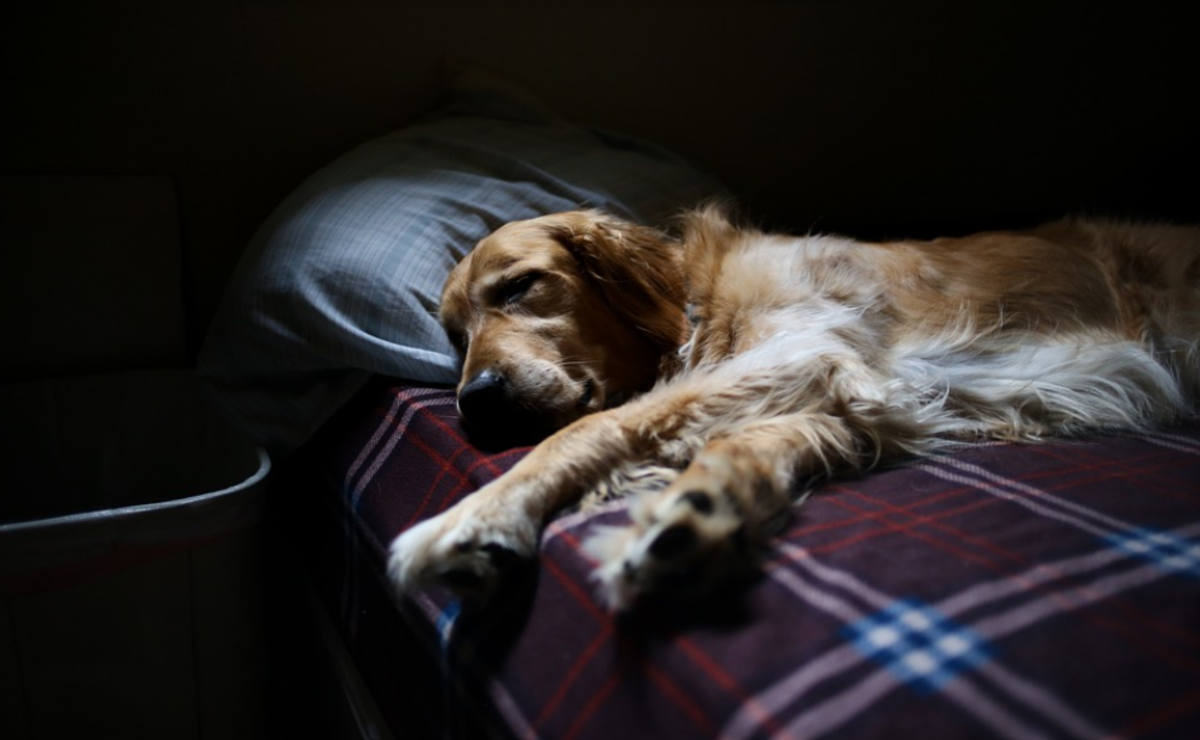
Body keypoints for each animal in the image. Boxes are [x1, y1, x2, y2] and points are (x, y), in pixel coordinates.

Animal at [388, 205, 1195, 609]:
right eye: (454, 334)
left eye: (520, 286)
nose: (475, 403)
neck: (700, 305)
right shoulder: (855, 401)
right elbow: (743, 444)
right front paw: (700, 511)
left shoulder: (809, 348)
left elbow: (596, 425)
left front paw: (473, 518)